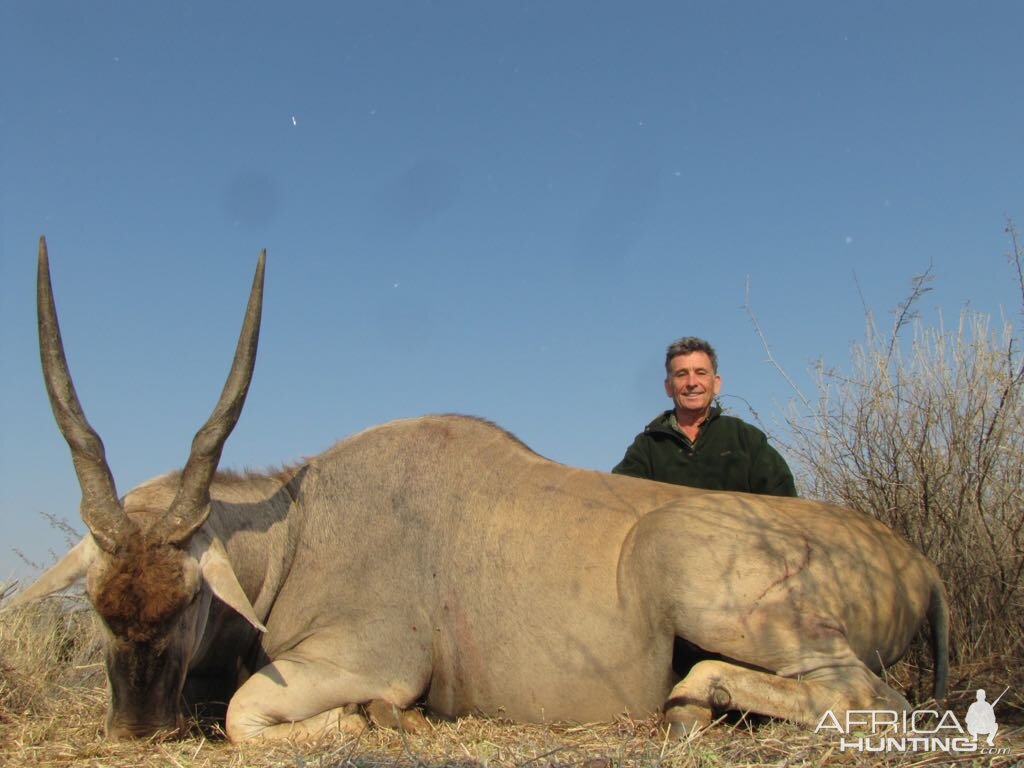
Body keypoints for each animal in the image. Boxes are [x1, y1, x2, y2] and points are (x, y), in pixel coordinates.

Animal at [12, 237, 946, 741]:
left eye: (186, 601)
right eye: (98, 605)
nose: (134, 729)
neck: (303, 525)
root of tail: (918, 565)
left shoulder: (366, 661)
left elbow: (249, 716)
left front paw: (380, 722)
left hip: (705, 580)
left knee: (872, 698)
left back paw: (694, 699)